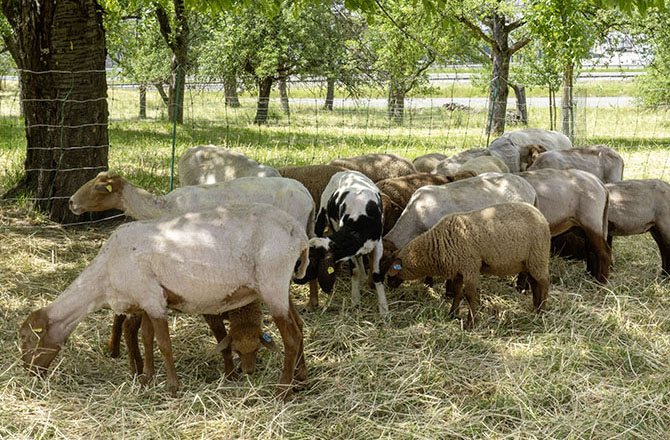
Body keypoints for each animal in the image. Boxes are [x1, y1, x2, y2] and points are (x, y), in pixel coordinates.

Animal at [20, 204, 309, 398]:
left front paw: (172, 387)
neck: (103, 280)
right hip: (282, 286)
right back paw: (300, 379)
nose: (29, 373)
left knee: (292, 336)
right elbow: (146, 338)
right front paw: (146, 378)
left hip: (272, 282)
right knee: (300, 326)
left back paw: (283, 390)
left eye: (26, 338)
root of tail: (299, 234)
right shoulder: (147, 299)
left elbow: (164, 344)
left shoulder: (152, 299)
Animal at [293, 170, 388, 317]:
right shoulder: (350, 249)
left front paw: (384, 310)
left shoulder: (378, 244)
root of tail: (346, 172)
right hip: (322, 214)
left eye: (312, 260)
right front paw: (355, 301)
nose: (295, 279)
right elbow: (354, 271)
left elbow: (377, 275)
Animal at [385, 202, 550, 328]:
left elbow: (469, 294)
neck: (438, 244)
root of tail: (540, 214)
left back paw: (543, 311)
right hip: (529, 262)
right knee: (535, 283)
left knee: (544, 282)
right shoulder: (458, 270)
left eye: (392, 269)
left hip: (538, 255)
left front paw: (471, 324)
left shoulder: (470, 266)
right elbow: (457, 291)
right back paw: (535, 309)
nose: (388, 283)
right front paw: (452, 314)